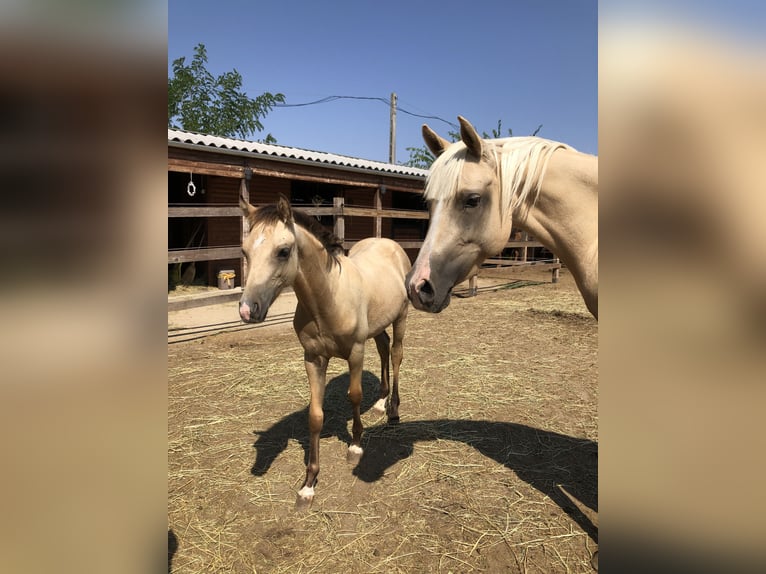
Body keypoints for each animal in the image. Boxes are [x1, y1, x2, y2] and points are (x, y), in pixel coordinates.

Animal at [240, 196, 412, 510]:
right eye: (245, 251)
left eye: (283, 251)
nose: (248, 310)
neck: (328, 300)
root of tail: (389, 244)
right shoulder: (313, 359)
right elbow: (315, 416)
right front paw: (308, 485)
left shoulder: (355, 352)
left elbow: (354, 396)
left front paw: (355, 447)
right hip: (377, 325)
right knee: (383, 347)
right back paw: (381, 403)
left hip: (401, 317)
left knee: (395, 354)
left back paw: (393, 410)